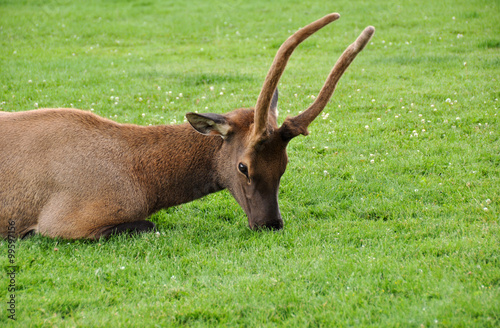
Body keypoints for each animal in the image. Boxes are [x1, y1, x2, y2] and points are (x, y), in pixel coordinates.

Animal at [0, 13, 376, 238]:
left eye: (284, 165)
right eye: (243, 167)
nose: (270, 224)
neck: (144, 184)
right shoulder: (64, 221)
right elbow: (147, 224)